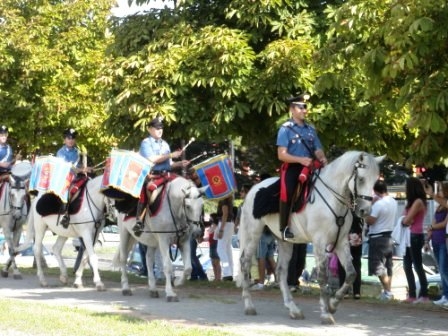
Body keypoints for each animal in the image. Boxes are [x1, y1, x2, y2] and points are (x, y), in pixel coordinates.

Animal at [238, 151, 382, 324]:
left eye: (375, 180)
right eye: (361, 179)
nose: (365, 211)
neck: (333, 198)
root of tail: (253, 189)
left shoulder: (341, 242)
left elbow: (351, 273)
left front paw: (333, 304)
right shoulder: (319, 242)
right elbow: (322, 276)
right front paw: (326, 313)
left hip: (284, 241)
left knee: (281, 271)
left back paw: (293, 309)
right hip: (253, 234)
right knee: (245, 263)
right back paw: (249, 306)